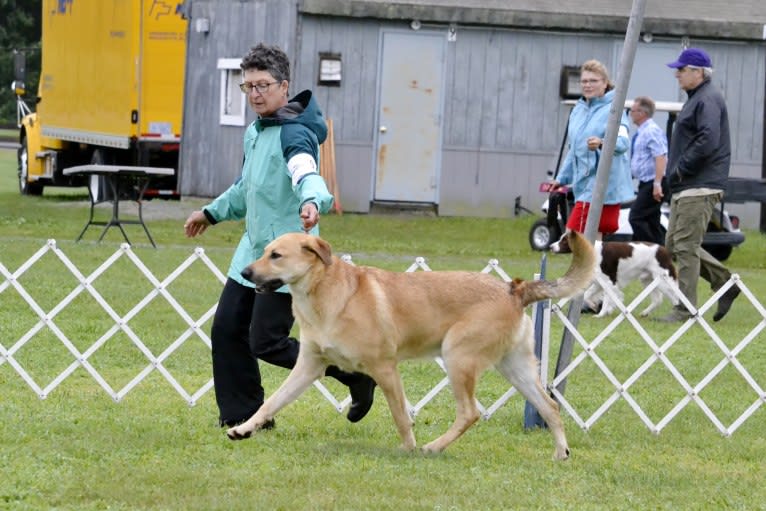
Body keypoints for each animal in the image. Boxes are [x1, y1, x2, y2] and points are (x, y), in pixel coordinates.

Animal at [225, 230, 596, 458]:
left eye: (276, 255)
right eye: (263, 252)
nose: (245, 273)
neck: (326, 294)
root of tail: (513, 289)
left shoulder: (385, 368)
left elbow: (400, 415)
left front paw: (408, 447)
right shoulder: (309, 367)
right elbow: (271, 403)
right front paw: (243, 429)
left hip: (457, 359)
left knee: (470, 413)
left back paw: (433, 447)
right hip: (515, 369)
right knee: (550, 407)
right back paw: (560, 453)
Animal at [548, 234, 680, 318]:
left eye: (564, 240)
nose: (550, 246)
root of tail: (664, 250)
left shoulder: (609, 281)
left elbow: (608, 298)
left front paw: (601, 314)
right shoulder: (598, 282)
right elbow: (587, 295)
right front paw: (596, 307)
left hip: (663, 280)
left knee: (676, 300)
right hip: (648, 279)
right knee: (658, 299)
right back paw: (645, 313)